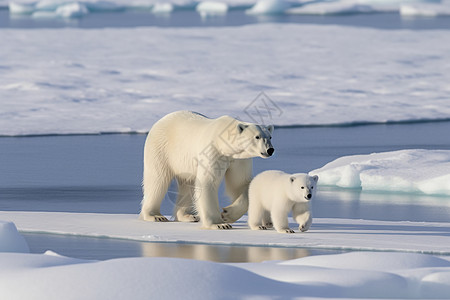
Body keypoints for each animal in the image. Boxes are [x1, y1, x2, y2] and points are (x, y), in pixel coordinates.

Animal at [140, 110, 274, 230]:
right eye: (257, 137)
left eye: (270, 136)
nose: (270, 150)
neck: (223, 143)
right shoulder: (213, 151)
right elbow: (208, 182)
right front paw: (220, 224)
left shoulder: (238, 160)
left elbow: (240, 184)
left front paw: (227, 214)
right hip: (161, 149)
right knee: (158, 180)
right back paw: (155, 216)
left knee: (187, 184)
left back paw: (188, 216)